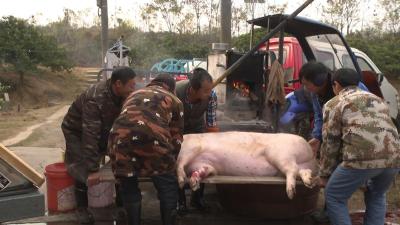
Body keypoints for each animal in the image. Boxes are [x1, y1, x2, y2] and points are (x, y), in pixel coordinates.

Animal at [177, 131, 318, 200]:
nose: (187, 182)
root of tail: (309, 149)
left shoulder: (189, 148)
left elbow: (180, 163)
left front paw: (182, 182)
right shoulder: (207, 166)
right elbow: (203, 170)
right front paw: (194, 183)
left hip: (281, 153)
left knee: (292, 169)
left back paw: (290, 194)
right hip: (292, 161)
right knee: (303, 170)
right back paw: (309, 182)